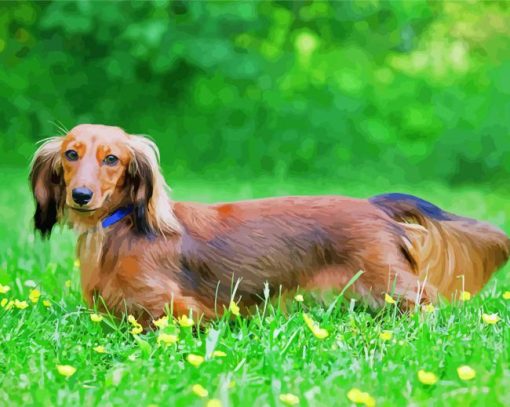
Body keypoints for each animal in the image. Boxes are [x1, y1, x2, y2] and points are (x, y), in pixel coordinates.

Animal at [30, 124, 510, 326]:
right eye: (71, 154)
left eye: (112, 158)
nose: (81, 196)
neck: (122, 227)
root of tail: (373, 205)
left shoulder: (176, 306)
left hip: (388, 281)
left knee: (426, 301)